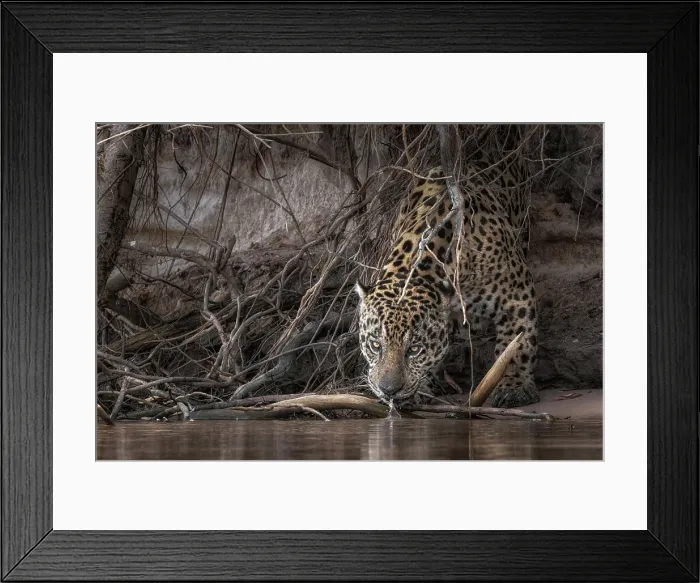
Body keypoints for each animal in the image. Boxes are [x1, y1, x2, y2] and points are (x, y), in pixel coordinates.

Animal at [355, 157, 539, 409]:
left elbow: (517, 344)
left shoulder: (517, 295)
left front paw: (514, 387)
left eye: (414, 350)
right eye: (375, 345)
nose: (389, 390)